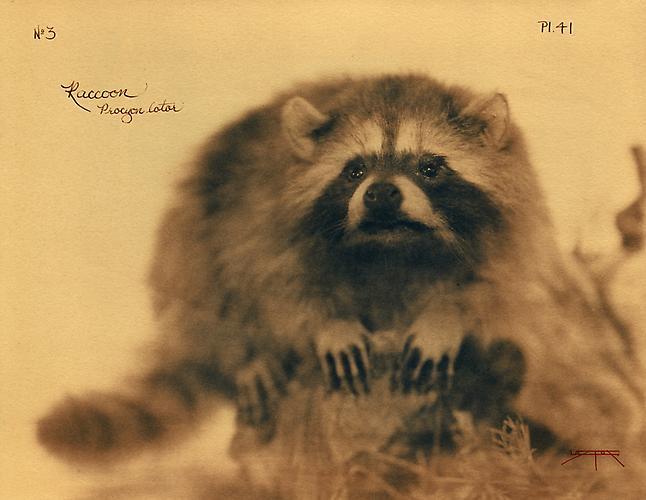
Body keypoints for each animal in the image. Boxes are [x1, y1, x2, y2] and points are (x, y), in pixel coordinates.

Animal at [38, 74, 643, 489]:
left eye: (430, 167)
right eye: (355, 170)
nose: (381, 193)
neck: (394, 246)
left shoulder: (515, 216)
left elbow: (496, 282)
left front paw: (446, 317)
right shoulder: (264, 207)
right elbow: (276, 278)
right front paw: (328, 324)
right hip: (196, 219)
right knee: (201, 272)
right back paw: (246, 354)